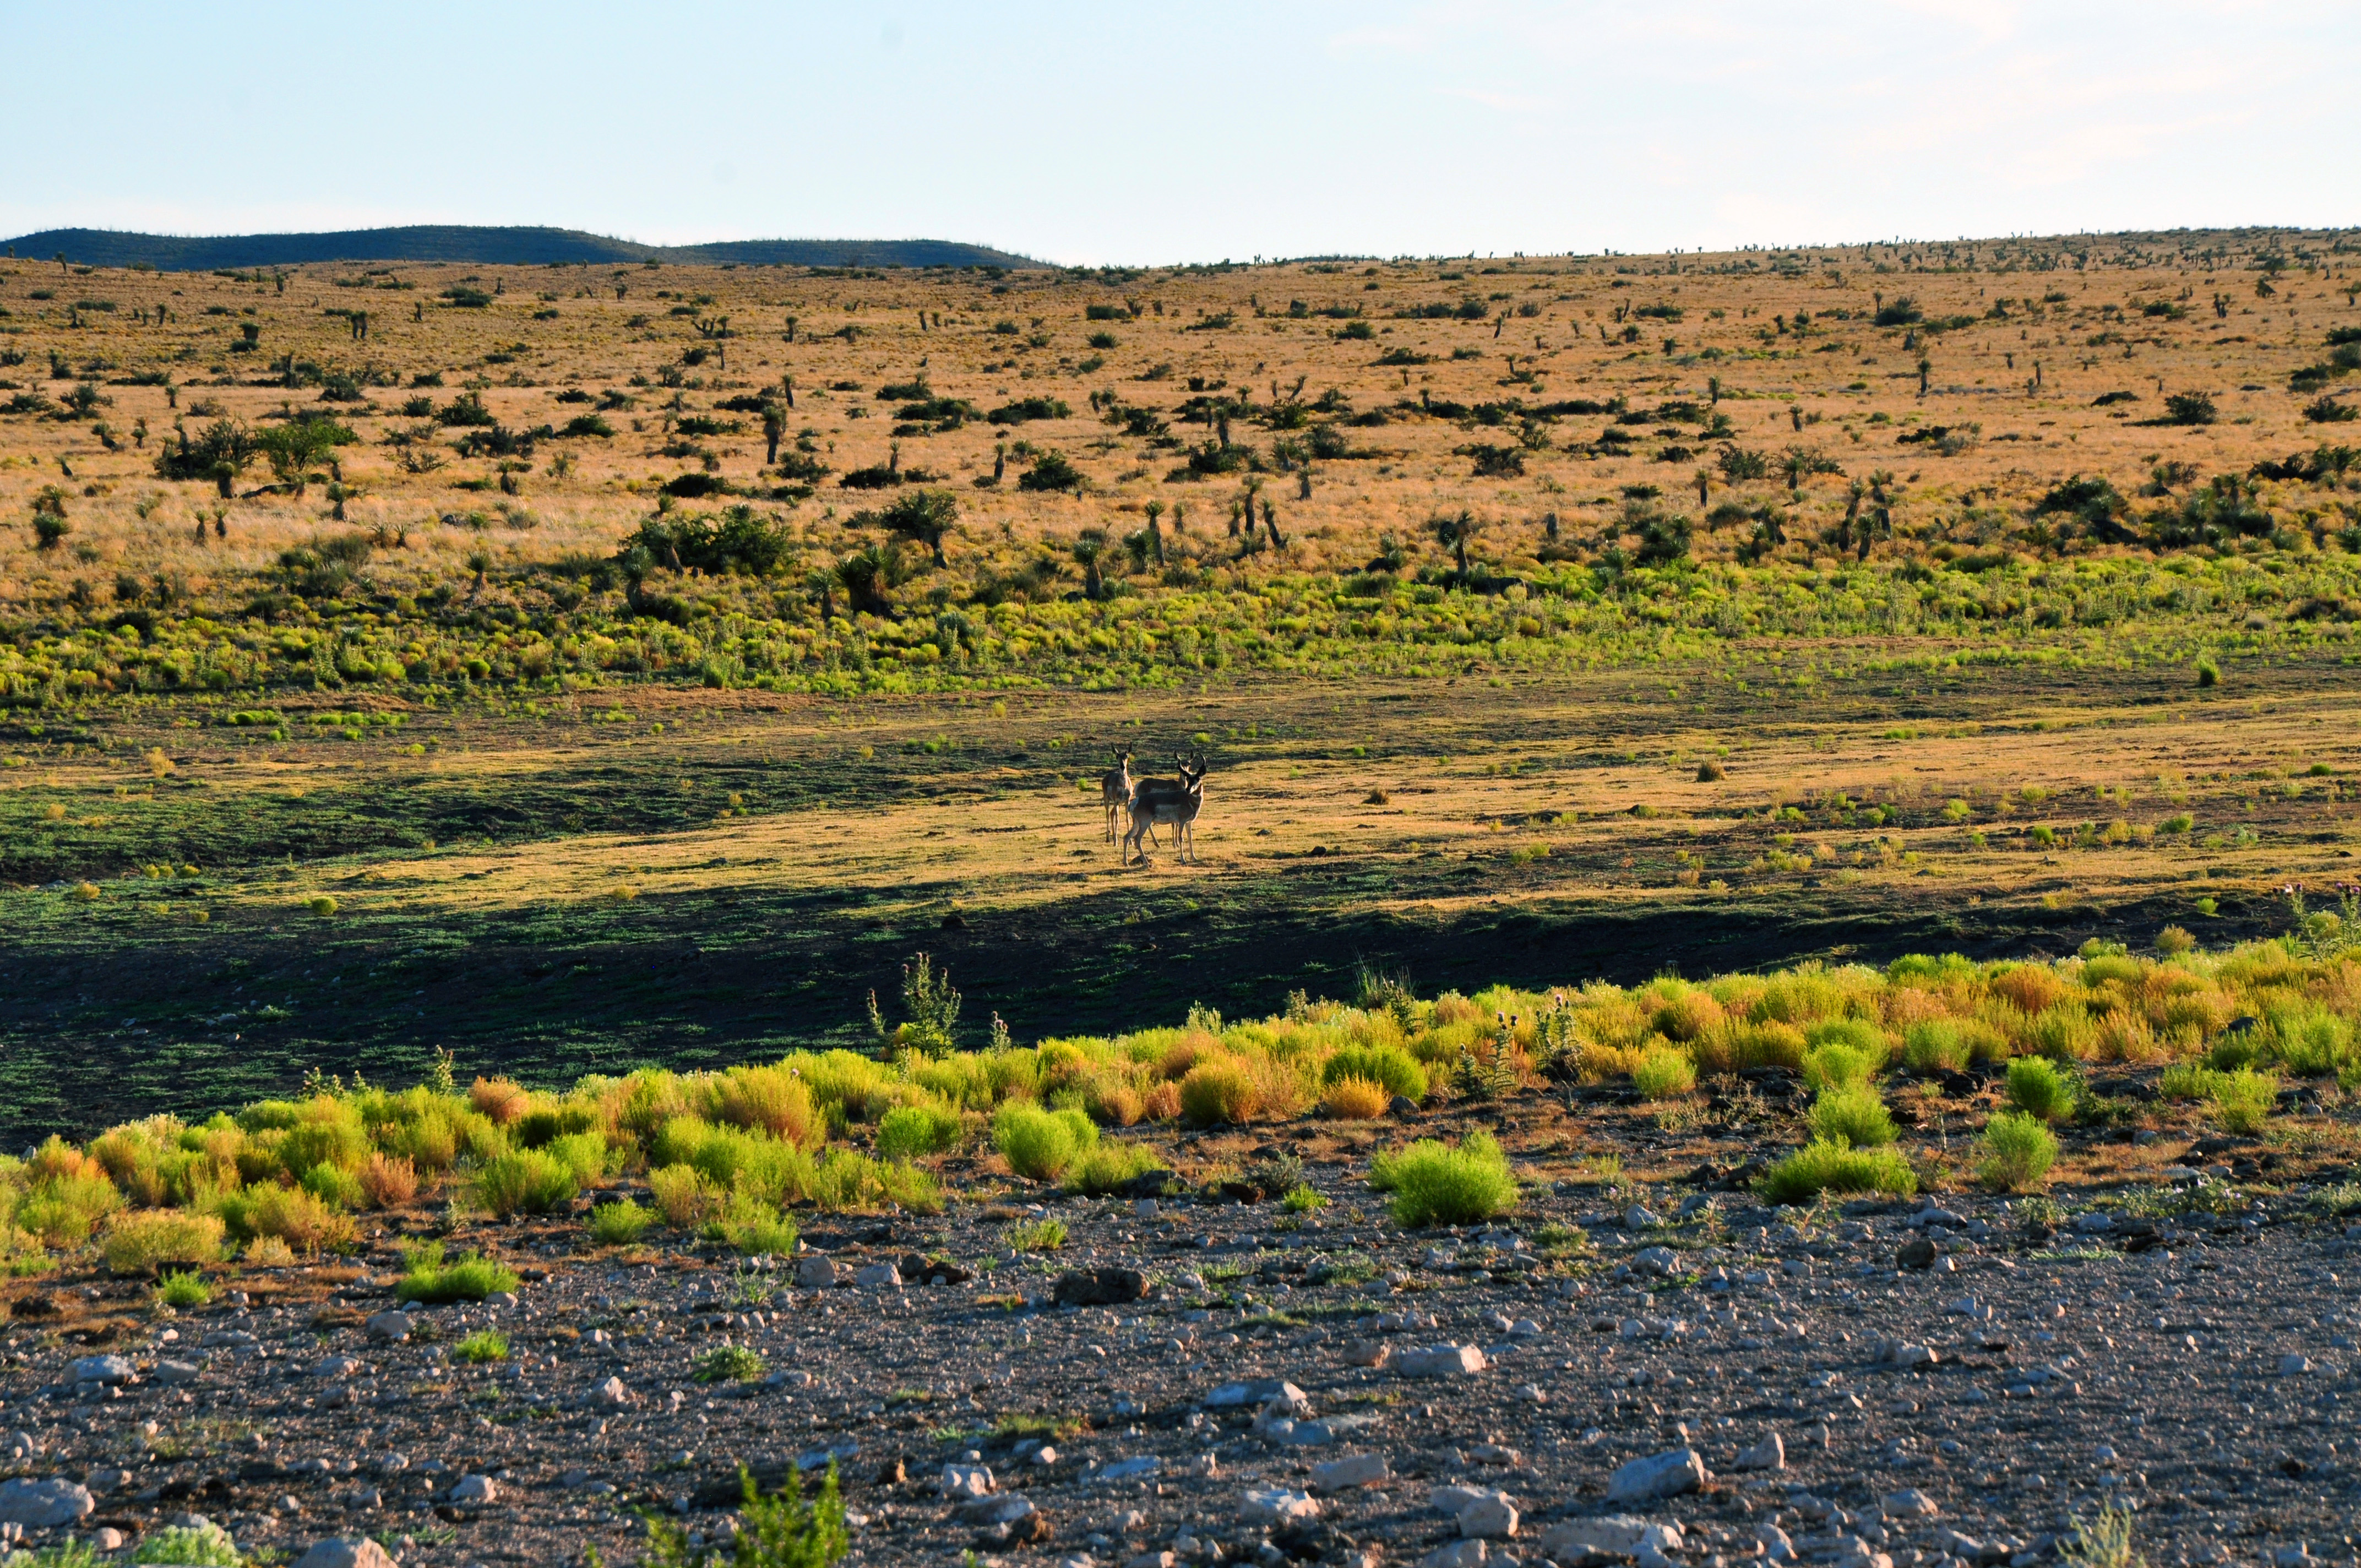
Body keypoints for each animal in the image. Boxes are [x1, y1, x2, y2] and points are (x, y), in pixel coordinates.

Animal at [1119, 755, 1209, 864]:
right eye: (1188, 778)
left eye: (1198, 778)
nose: (1188, 789)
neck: (1189, 799)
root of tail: (1135, 801)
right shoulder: (1182, 821)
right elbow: (1181, 838)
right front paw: (1183, 860)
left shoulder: (1189, 822)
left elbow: (1190, 837)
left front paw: (1194, 858)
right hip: (1144, 822)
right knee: (1137, 839)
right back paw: (1147, 863)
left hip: (1137, 823)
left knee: (1127, 837)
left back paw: (1126, 863)